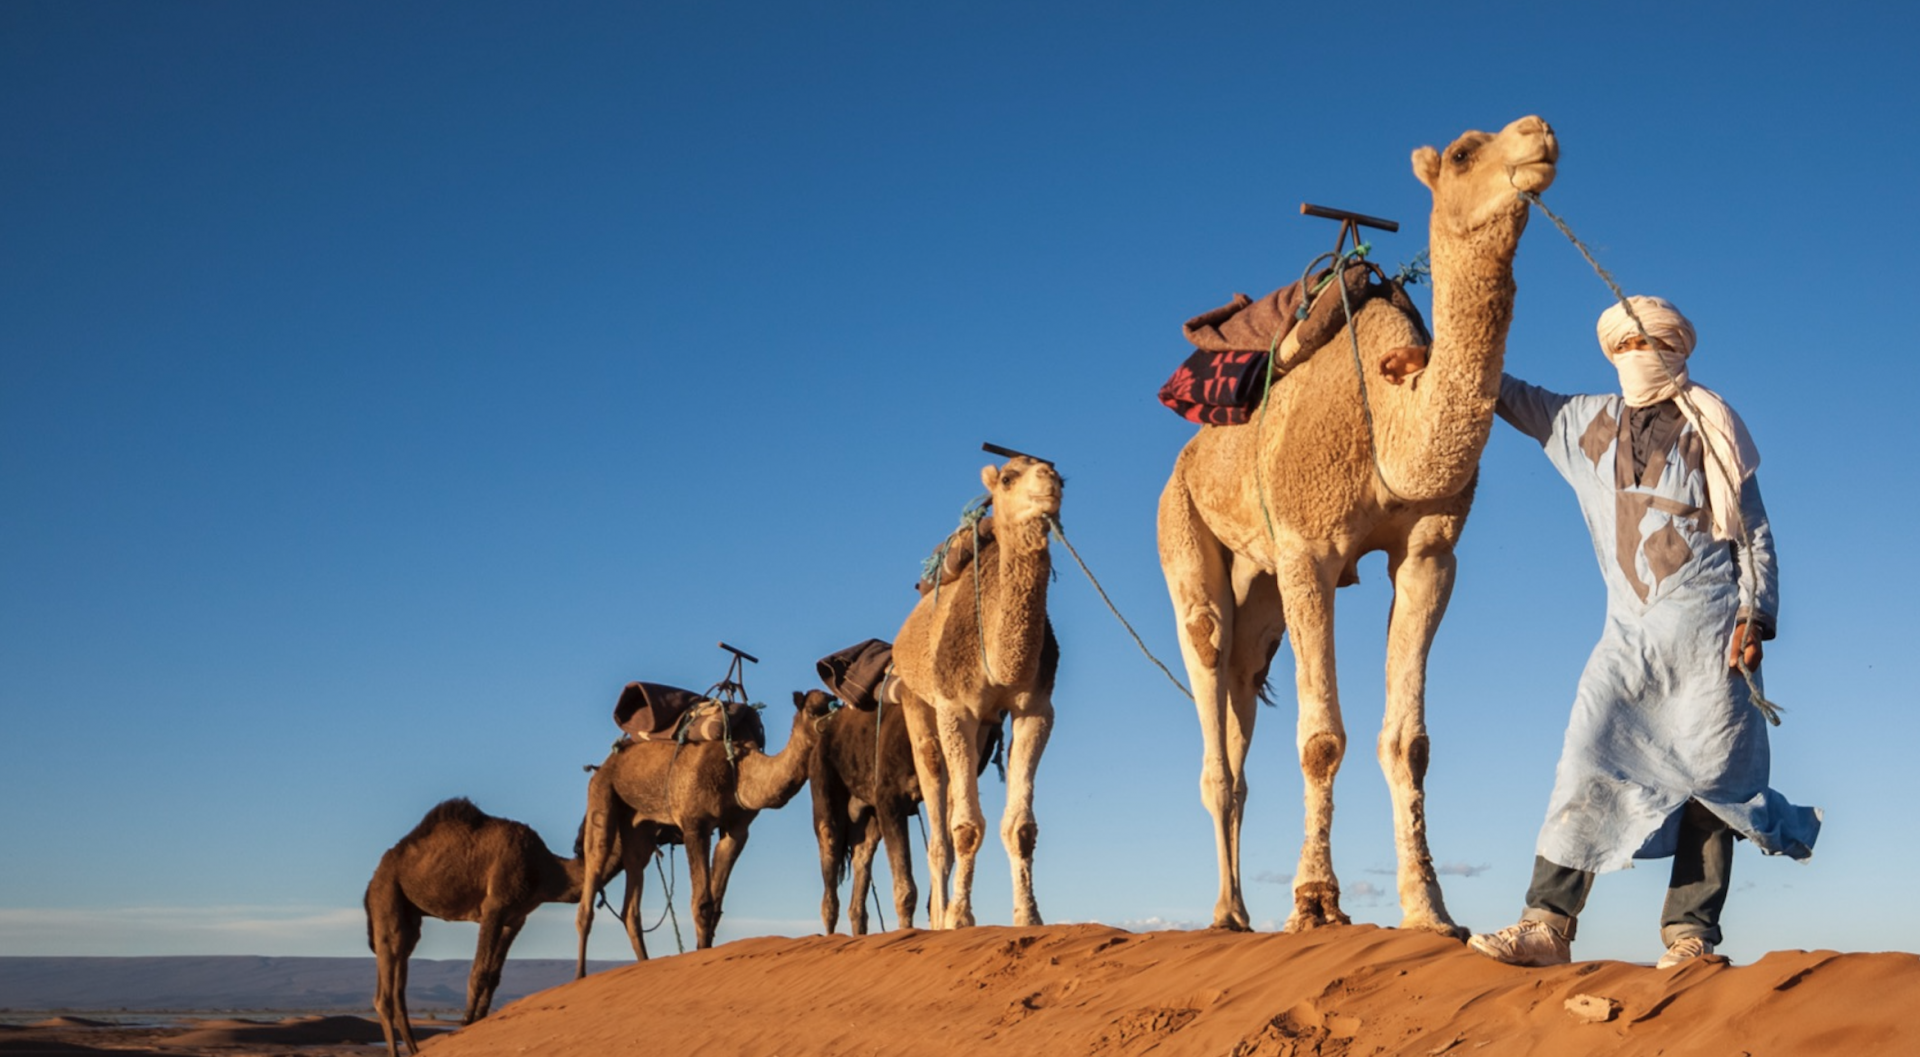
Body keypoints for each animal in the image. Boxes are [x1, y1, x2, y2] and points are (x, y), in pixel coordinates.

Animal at [357, 801, 602, 1057]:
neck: (545, 869)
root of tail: (372, 880)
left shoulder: (516, 919)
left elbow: (493, 975)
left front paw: (480, 1022)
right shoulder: (494, 907)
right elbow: (479, 972)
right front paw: (467, 1025)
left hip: (409, 917)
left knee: (400, 977)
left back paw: (415, 1050)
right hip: (387, 897)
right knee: (385, 988)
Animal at [572, 686, 837, 974]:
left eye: (833, 703)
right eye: (813, 710)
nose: (838, 722)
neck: (739, 769)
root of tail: (605, 764)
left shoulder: (736, 830)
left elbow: (716, 905)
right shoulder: (694, 823)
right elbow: (701, 903)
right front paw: (700, 957)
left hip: (639, 826)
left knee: (631, 903)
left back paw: (644, 965)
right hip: (602, 799)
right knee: (589, 891)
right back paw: (580, 976)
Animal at [890, 454, 1059, 928]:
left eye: (1058, 471)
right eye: (1009, 477)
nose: (1051, 483)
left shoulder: (1036, 708)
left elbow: (1021, 827)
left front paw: (1029, 917)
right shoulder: (954, 707)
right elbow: (965, 829)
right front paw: (961, 920)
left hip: (984, 727)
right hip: (915, 700)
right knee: (937, 807)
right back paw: (939, 921)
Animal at [1152, 116, 1559, 939]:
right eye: (1464, 152)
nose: (1540, 135)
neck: (1390, 418)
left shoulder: (1430, 553)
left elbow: (1409, 741)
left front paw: (1430, 909)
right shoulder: (1310, 547)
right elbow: (1321, 739)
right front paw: (1315, 902)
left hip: (1262, 582)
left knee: (1243, 686)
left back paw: (1240, 908)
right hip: (1182, 527)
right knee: (1209, 669)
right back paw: (1225, 912)